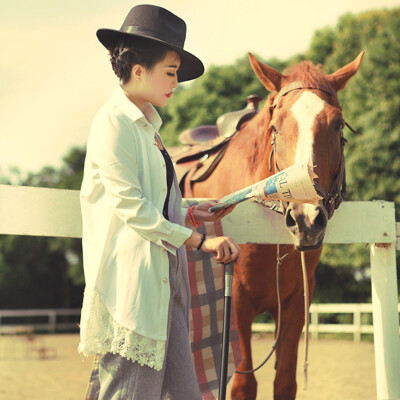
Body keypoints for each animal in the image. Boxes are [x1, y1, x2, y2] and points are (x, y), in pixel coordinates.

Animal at [184, 51, 366, 398]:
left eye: (337, 124)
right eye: (275, 127)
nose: (306, 219)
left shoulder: (296, 304)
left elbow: (284, 381)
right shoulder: (237, 303)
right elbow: (243, 384)